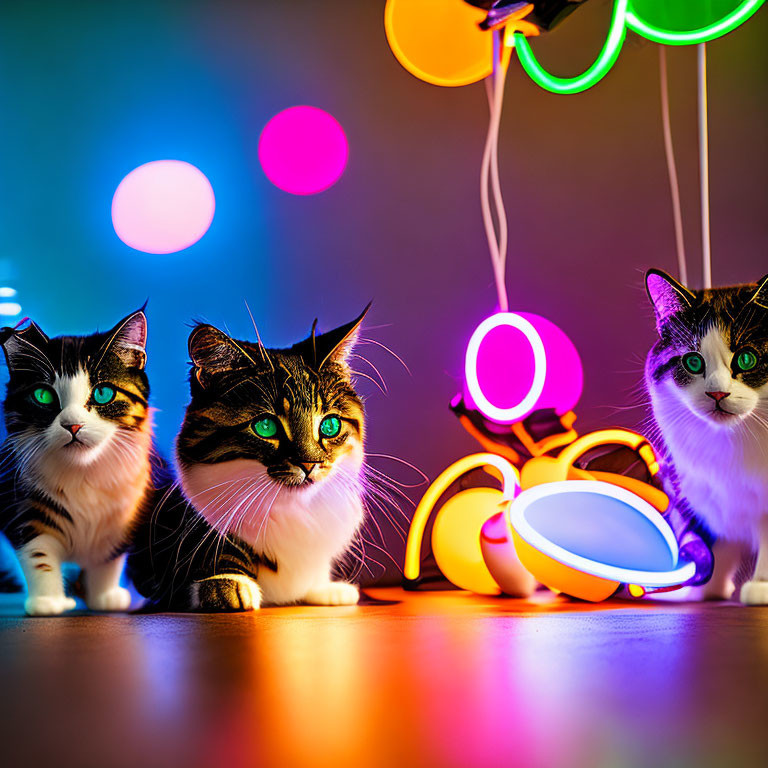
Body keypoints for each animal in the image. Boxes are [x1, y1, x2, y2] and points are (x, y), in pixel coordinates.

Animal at [0, 308, 153, 616]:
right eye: (43, 395)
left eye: (103, 393)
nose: (73, 425)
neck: (82, 472)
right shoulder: (24, 507)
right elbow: (39, 554)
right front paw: (48, 603)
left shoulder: (122, 514)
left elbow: (108, 559)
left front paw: (105, 597)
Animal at [129, 306, 368, 612]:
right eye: (265, 426)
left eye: (330, 426)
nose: (309, 464)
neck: (288, 507)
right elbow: (221, 550)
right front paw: (227, 585)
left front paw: (325, 588)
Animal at [640, 270, 768, 608]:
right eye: (693, 362)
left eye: (747, 359)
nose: (717, 394)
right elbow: (713, 541)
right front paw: (699, 587)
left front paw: (761, 585)